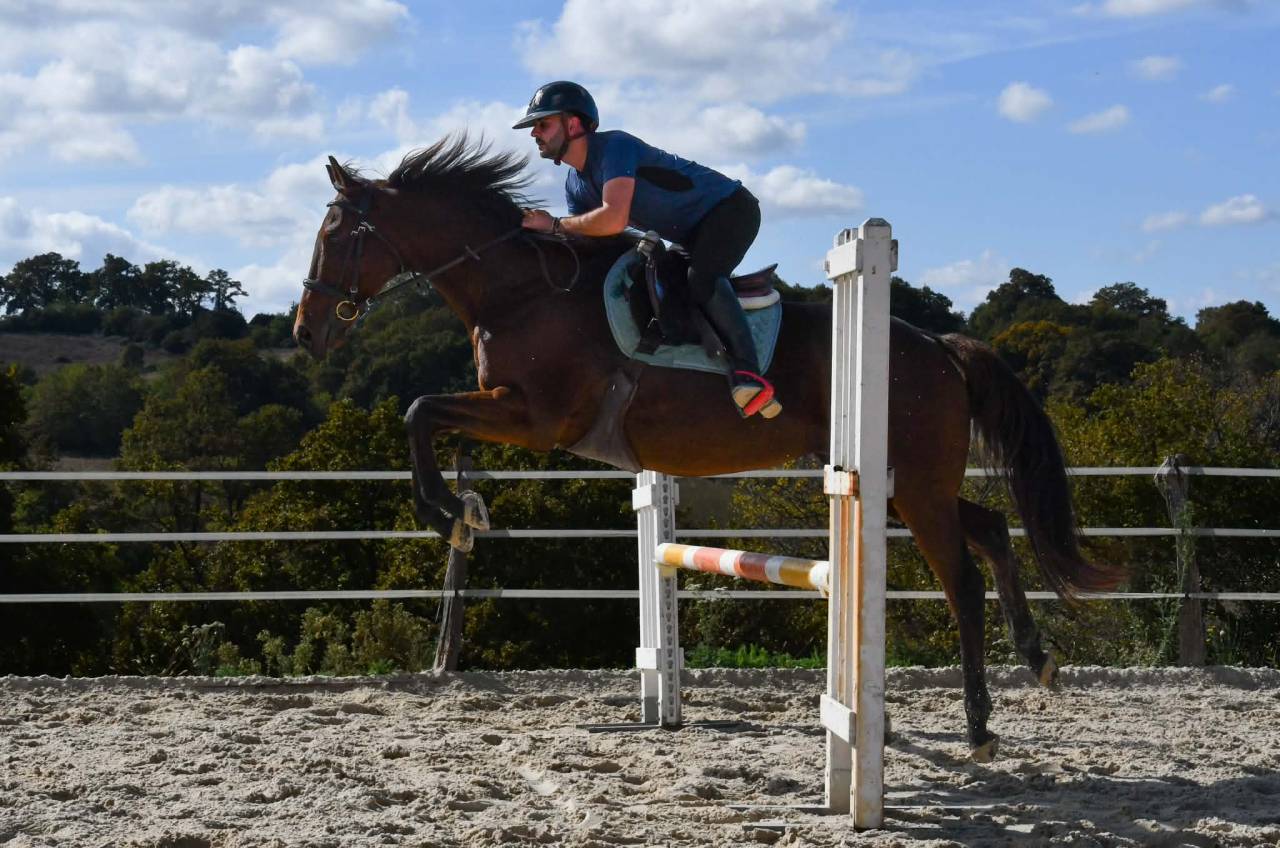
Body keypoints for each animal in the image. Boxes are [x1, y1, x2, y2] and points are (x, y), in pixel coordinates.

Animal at [293, 135, 1123, 761]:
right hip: (902, 482)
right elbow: (421, 413)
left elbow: (418, 410)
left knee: (963, 579)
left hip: (910, 483)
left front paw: (452, 512)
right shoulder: (520, 414)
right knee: (990, 527)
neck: (518, 289)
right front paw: (459, 511)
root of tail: (939, 346)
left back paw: (980, 727)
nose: (306, 333)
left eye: (335, 237)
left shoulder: (537, 418)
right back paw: (1038, 658)